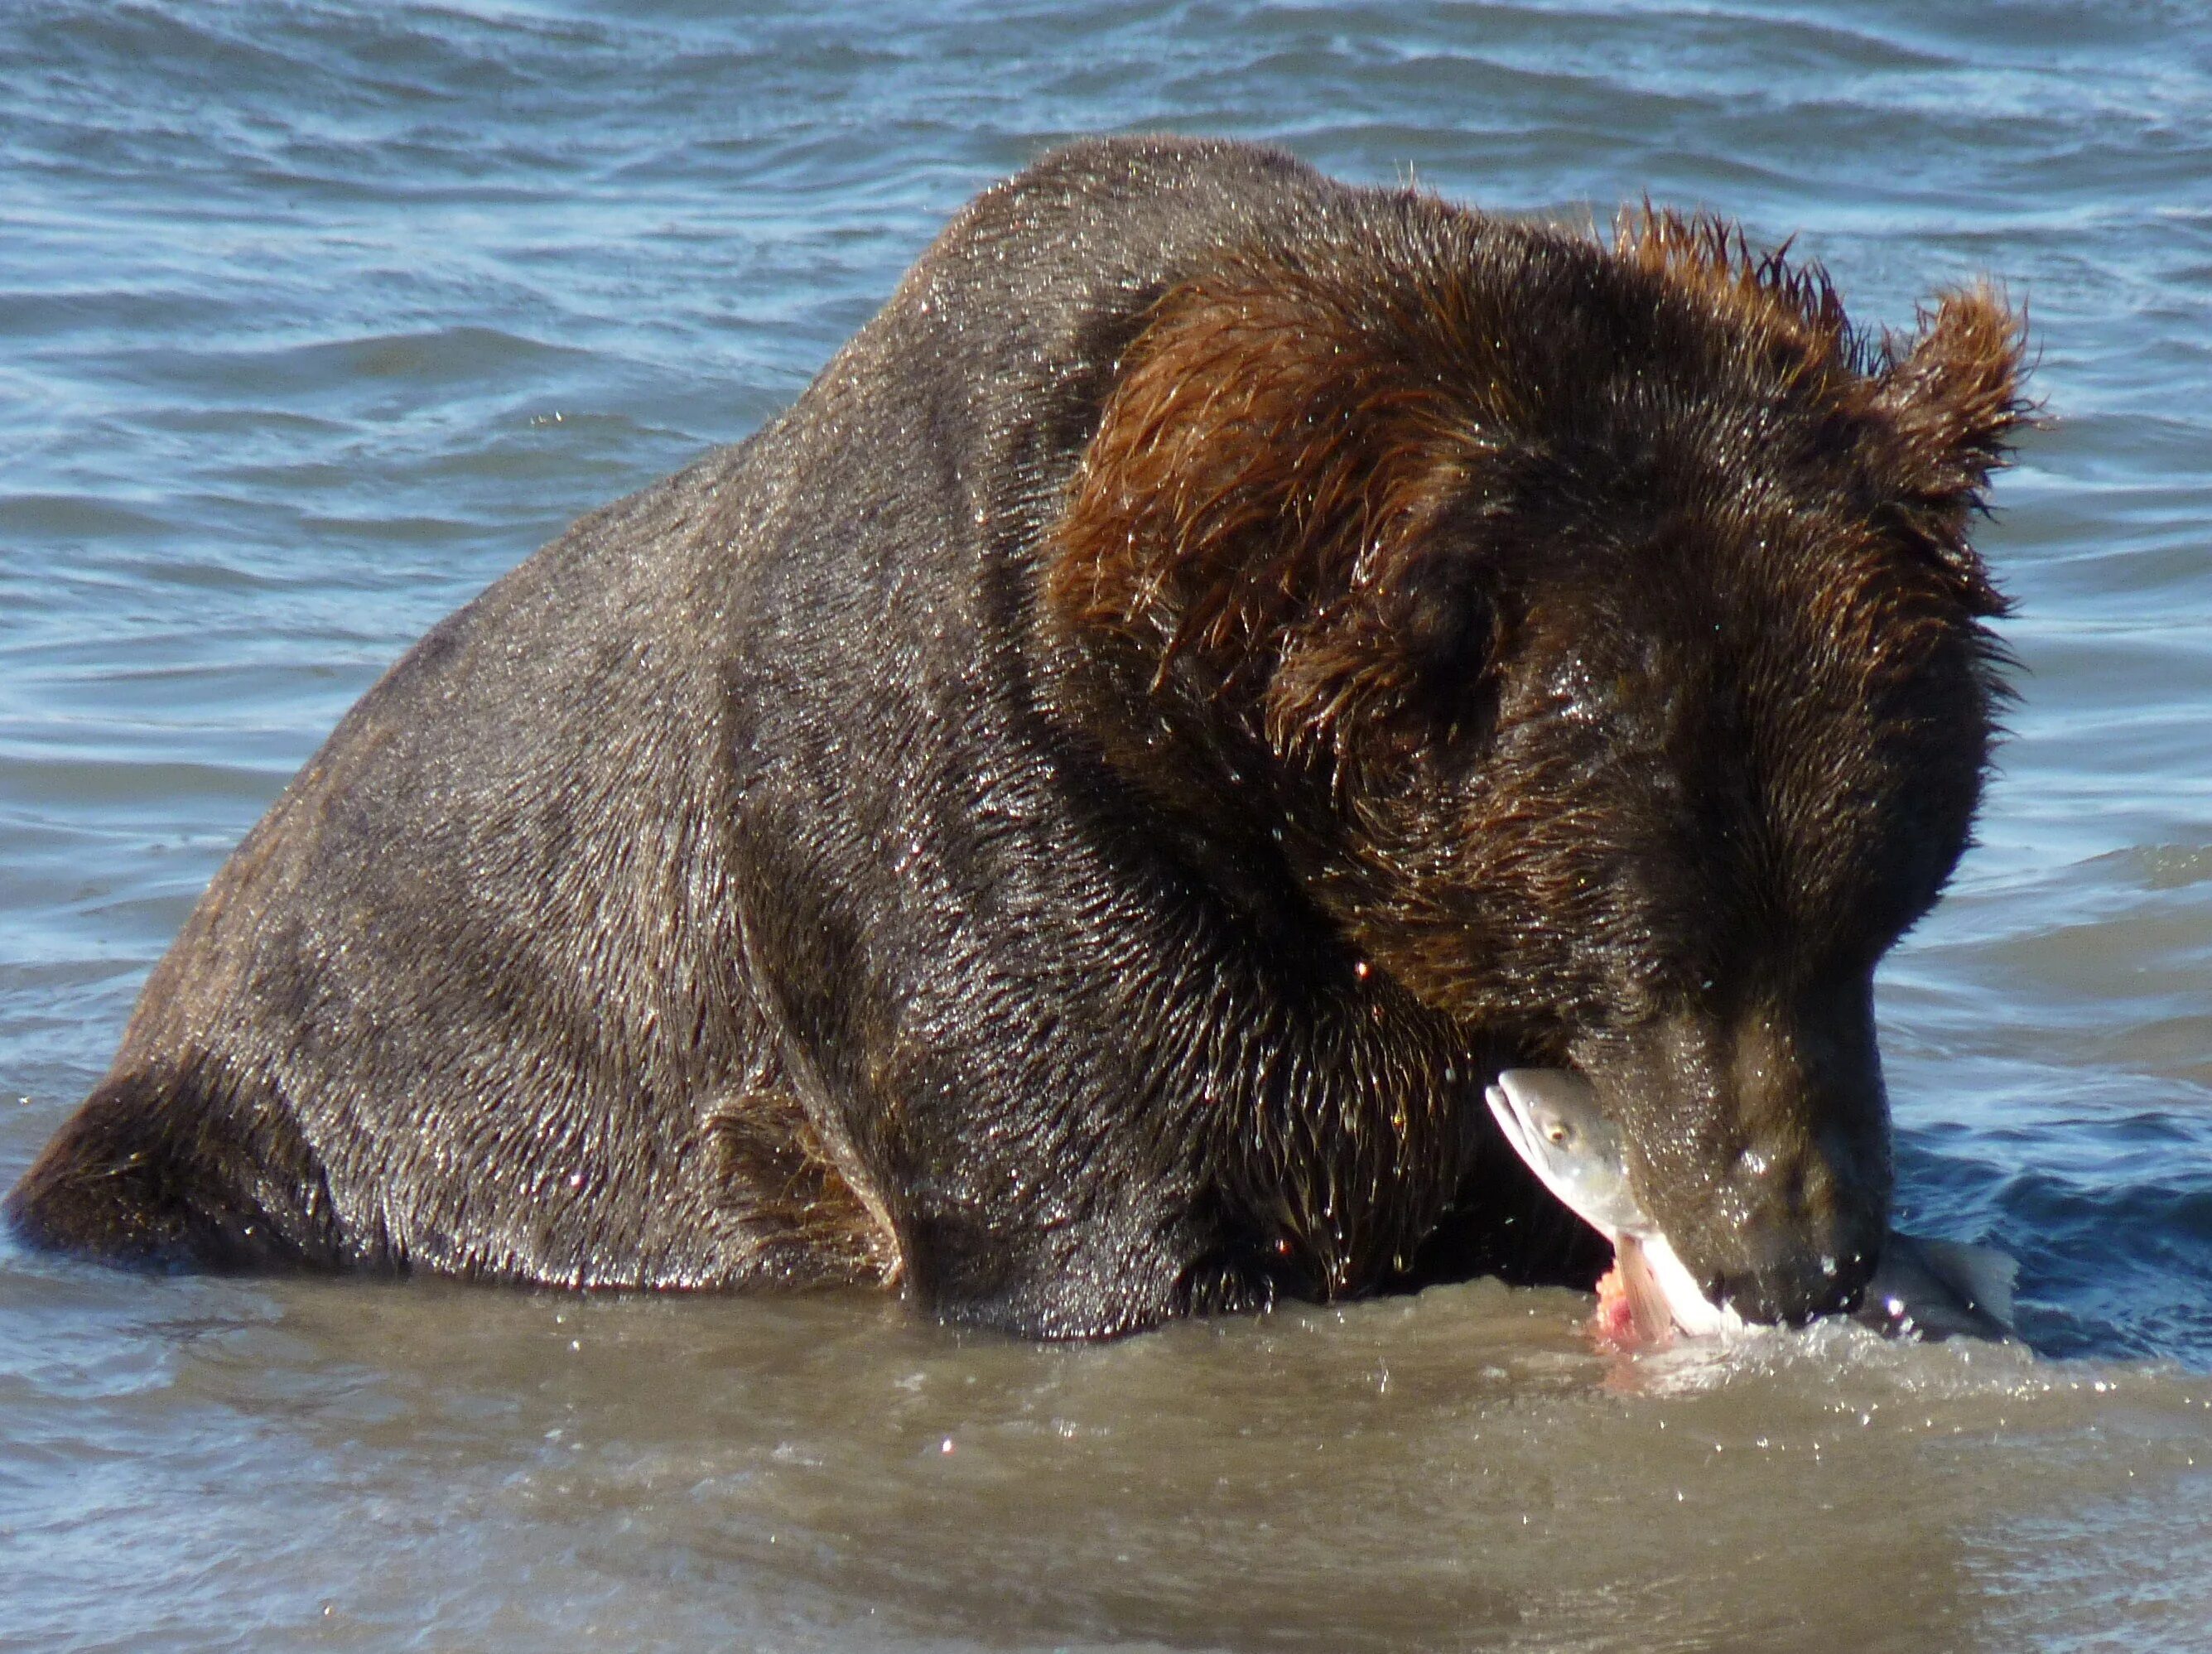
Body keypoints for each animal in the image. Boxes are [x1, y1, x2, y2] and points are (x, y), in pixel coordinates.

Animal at [8, 135, 2026, 1335]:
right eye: (1652, 948)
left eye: (1878, 908)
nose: (1803, 1247)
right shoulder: (969, 813)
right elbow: (1094, 1218)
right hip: (288, 1124)